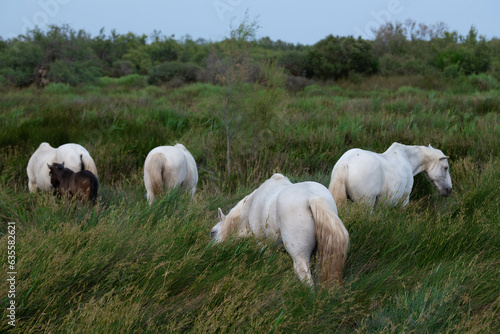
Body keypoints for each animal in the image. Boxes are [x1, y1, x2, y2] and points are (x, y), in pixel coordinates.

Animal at [210, 174, 348, 286]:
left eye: (212, 232)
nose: (211, 251)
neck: (249, 207)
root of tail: (313, 198)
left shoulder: (262, 244)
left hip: (299, 255)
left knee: (304, 275)